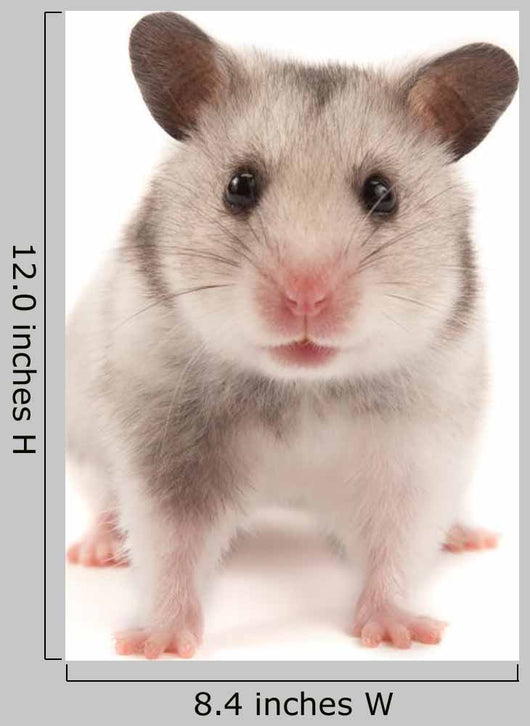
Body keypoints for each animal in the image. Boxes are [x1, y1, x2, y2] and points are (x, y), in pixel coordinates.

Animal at [66, 12, 518, 658]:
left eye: (382, 193)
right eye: (239, 185)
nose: (306, 298)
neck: (302, 388)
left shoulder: (416, 451)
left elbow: (397, 542)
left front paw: (399, 635)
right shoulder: (166, 447)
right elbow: (170, 545)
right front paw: (157, 644)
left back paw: (468, 537)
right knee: (108, 501)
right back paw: (97, 549)